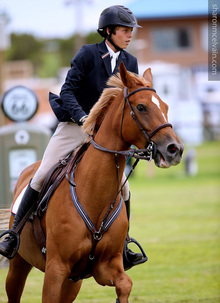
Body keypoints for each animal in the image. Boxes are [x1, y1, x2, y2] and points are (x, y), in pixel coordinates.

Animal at [3, 62, 184, 303]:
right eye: (141, 107)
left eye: (165, 106)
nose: (175, 149)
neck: (93, 194)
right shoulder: (55, 269)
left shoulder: (105, 265)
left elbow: (125, 284)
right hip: (19, 265)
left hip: (73, 282)